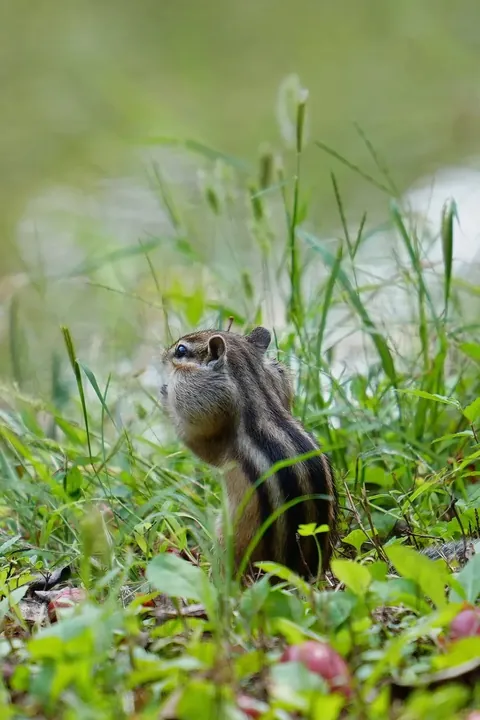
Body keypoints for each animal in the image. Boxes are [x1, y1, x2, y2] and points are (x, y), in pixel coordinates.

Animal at [160, 325, 337, 581]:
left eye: (181, 350)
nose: (163, 355)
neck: (253, 385)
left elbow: (200, 445)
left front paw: (165, 395)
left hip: (229, 536)